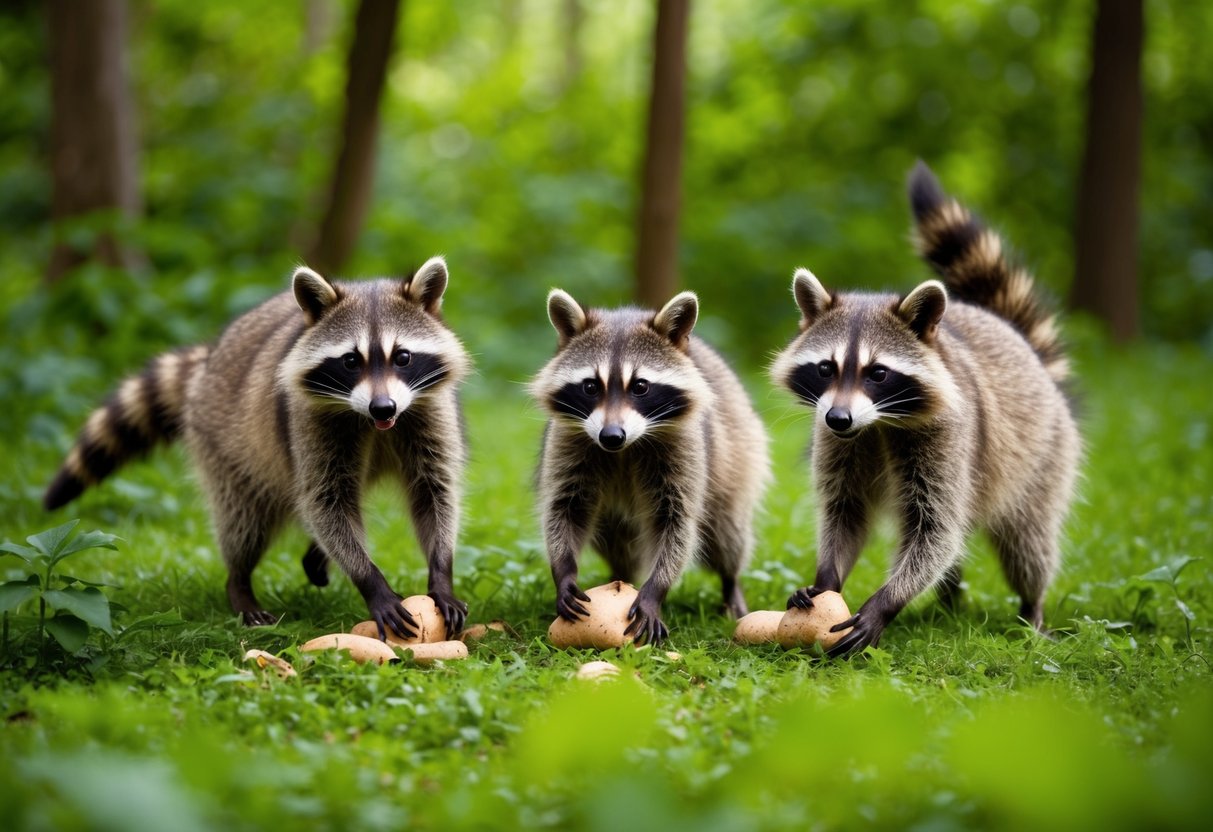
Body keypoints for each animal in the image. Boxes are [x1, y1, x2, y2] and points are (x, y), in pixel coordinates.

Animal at [44, 257, 471, 639]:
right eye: (351, 361)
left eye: (403, 357)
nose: (383, 407)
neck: (372, 421)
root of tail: (208, 360)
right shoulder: (308, 420)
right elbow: (324, 499)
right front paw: (371, 581)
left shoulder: (429, 411)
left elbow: (434, 490)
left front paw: (441, 571)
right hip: (224, 444)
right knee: (245, 521)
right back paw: (240, 581)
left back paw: (314, 552)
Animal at [531, 290, 770, 644]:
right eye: (590, 386)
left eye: (640, 386)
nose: (611, 436)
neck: (625, 449)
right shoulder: (568, 442)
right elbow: (564, 510)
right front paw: (564, 571)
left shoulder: (685, 450)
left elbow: (677, 523)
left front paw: (655, 590)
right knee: (613, 541)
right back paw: (619, 576)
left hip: (738, 454)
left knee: (726, 536)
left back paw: (731, 583)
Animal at [770, 162, 1080, 656]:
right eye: (825, 368)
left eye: (878, 373)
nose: (839, 419)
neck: (877, 423)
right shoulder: (838, 440)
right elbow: (846, 509)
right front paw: (827, 576)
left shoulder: (948, 434)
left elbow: (935, 530)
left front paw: (886, 601)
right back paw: (949, 598)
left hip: (1043, 457)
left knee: (1028, 543)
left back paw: (1032, 606)